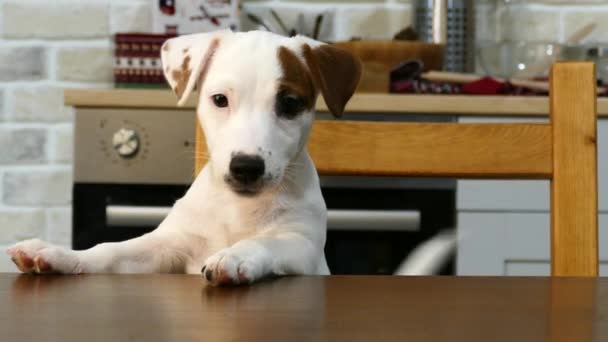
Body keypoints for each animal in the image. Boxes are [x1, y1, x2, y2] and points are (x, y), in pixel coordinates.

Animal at [4, 30, 360, 286]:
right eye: (220, 99)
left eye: (289, 103)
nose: (246, 167)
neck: (237, 209)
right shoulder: (169, 246)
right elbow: (111, 250)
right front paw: (62, 256)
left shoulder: (304, 248)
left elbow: (267, 243)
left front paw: (235, 256)